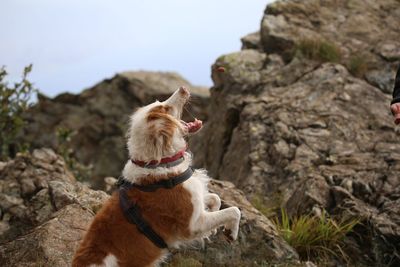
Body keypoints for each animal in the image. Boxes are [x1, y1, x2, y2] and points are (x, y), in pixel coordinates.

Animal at [71, 87, 241, 266]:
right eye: (164, 109)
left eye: (160, 102)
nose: (183, 88)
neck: (160, 162)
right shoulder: (193, 225)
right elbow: (234, 210)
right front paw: (231, 232)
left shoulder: (196, 199)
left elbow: (216, 198)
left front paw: (215, 226)